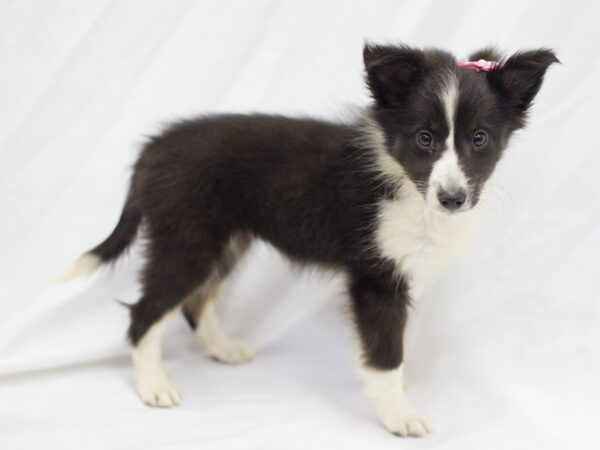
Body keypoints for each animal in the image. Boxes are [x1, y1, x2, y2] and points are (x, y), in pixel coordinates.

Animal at [62, 43, 556, 436]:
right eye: (424, 138)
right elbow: (385, 350)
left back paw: (222, 349)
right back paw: (155, 387)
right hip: (188, 239)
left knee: (194, 302)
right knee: (147, 312)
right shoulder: (376, 278)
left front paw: (397, 392)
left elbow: (392, 347)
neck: (402, 183)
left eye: (480, 139)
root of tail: (154, 147)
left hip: (225, 240)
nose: (452, 199)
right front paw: (398, 413)